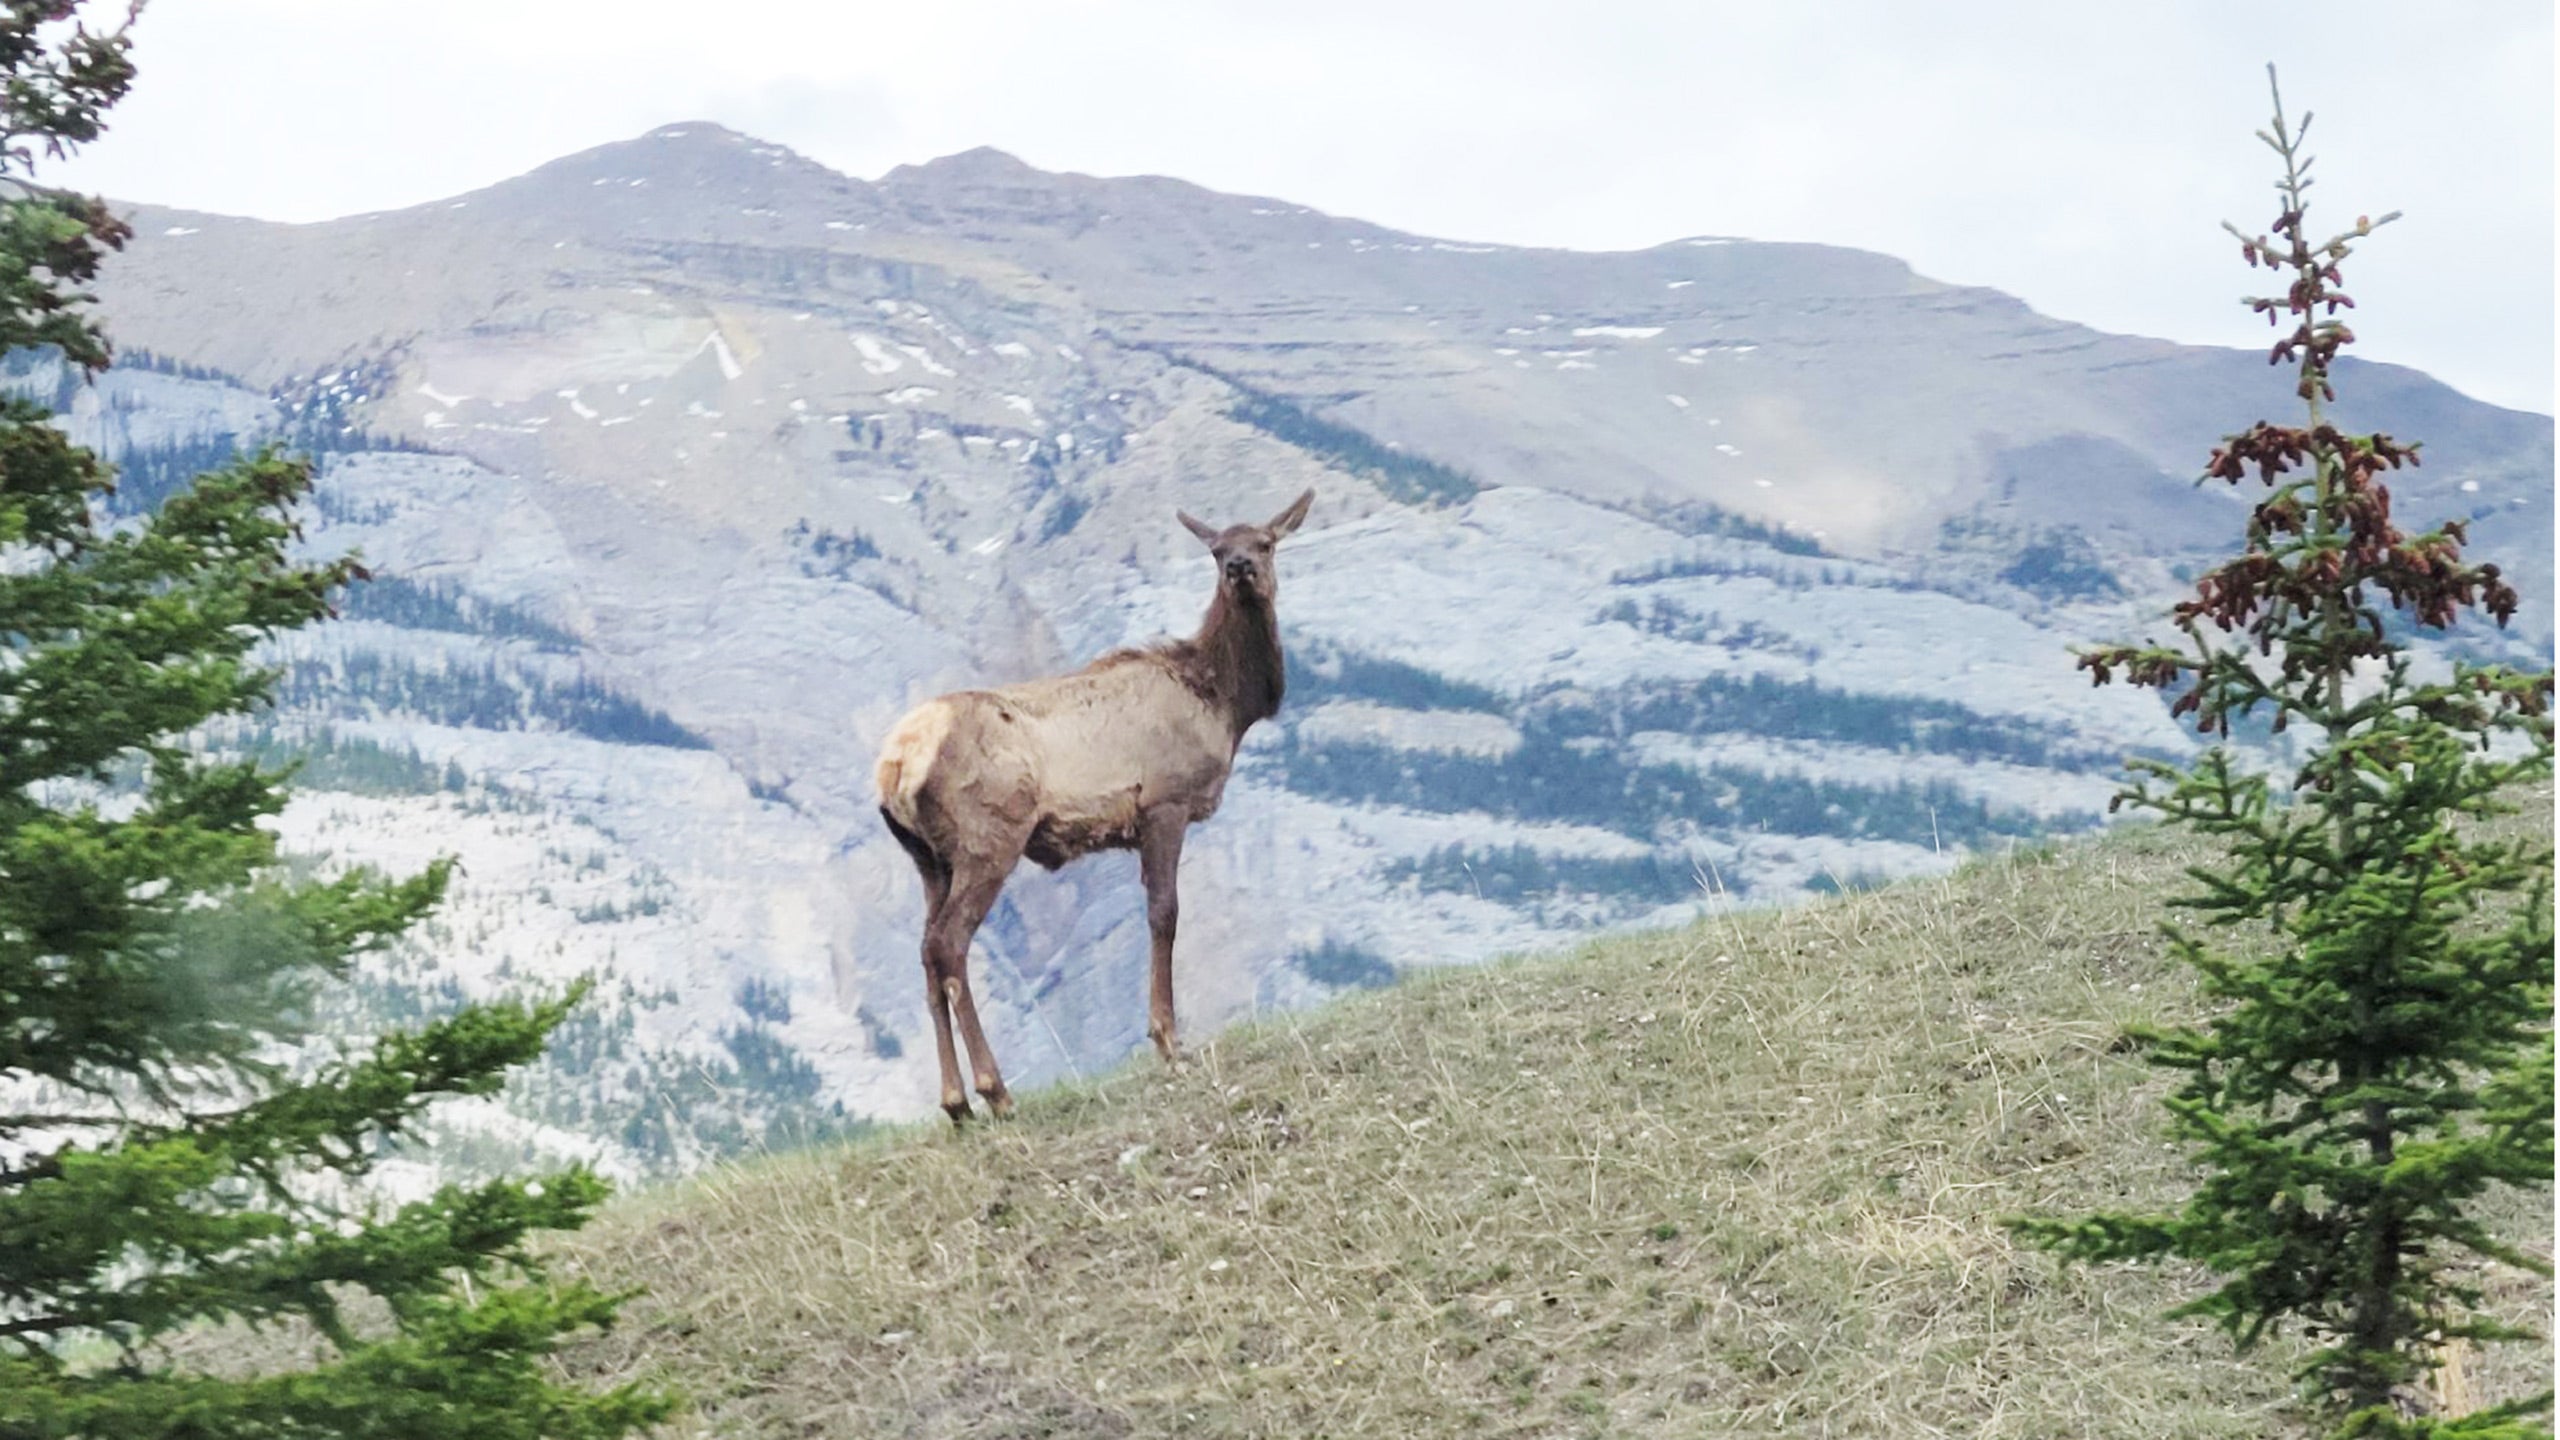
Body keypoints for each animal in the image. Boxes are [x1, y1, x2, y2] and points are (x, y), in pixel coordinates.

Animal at [880, 489, 1320, 1122]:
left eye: (1264, 542)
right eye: (1216, 549)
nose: (1240, 568)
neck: (1224, 704)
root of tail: (894, 766)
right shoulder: (1164, 804)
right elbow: (1164, 914)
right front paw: (1167, 1038)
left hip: (928, 860)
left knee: (925, 951)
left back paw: (956, 1103)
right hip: (990, 839)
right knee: (949, 944)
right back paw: (995, 1090)